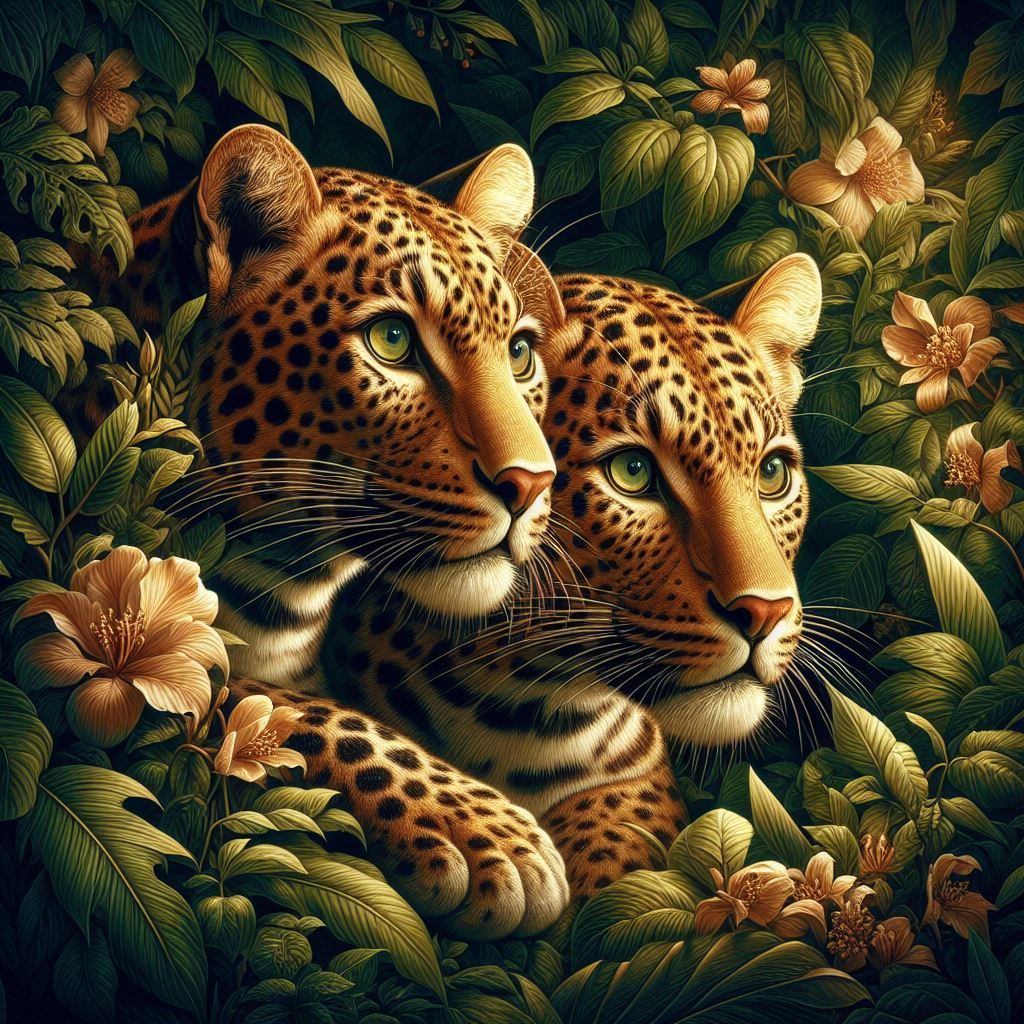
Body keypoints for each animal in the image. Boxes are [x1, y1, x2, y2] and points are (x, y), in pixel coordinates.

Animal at [235, 253, 823, 928]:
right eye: (633, 472)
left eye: (772, 473)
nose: (766, 611)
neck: (528, 705)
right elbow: (289, 714)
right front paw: (476, 834)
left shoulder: (629, 777)